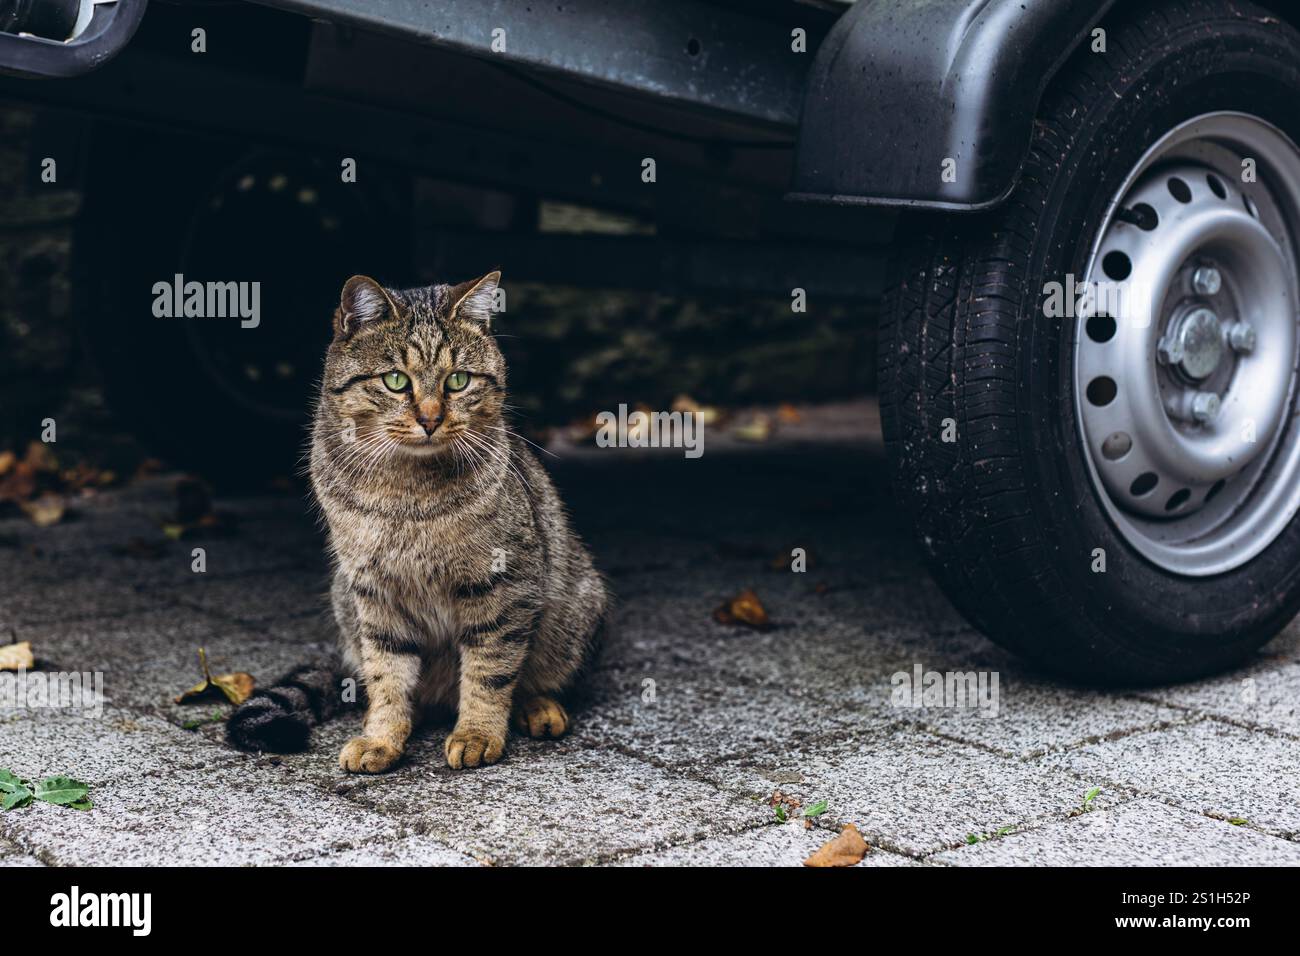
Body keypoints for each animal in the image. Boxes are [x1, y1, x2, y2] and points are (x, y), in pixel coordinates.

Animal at [226, 273, 605, 775]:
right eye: (396, 381)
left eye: (458, 380)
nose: (429, 418)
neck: (407, 493)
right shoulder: (374, 591)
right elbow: (387, 676)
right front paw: (382, 737)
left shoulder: (504, 583)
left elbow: (490, 668)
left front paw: (478, 733)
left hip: (575, 608)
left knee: (535, 674)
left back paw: (538, 706)